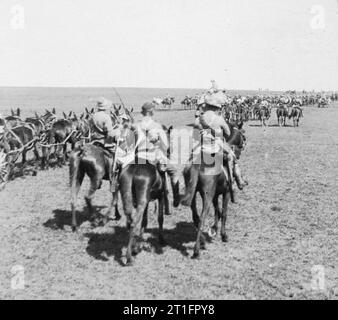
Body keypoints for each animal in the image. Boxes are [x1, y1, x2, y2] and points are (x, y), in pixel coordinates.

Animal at [182, 121, 246, 258]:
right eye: (243, 135)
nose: (243, 145)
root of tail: (197, 165)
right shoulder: (226, 193)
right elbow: (224, 212)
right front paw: (224, 235)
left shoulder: (215, 195)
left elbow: (217, 211)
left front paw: (215, 229)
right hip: (207, 196)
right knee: (201, 218)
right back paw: (197, 250)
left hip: (194, 194)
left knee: (196, 217)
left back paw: (203, 242)